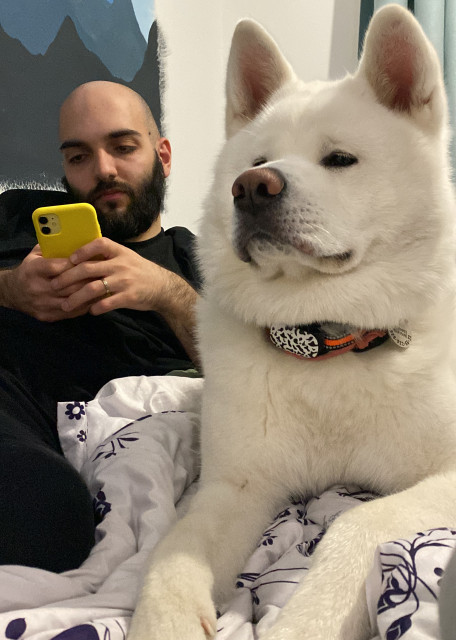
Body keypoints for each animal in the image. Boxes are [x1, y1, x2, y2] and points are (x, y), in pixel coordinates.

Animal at [129, 5, 456, 639]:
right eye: (256, 163)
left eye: (340, 159)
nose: (251, 189)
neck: (326, 339)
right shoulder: (236, 486)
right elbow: (173, 552)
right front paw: (164, 620)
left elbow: (357, 523)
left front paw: (310, 618)